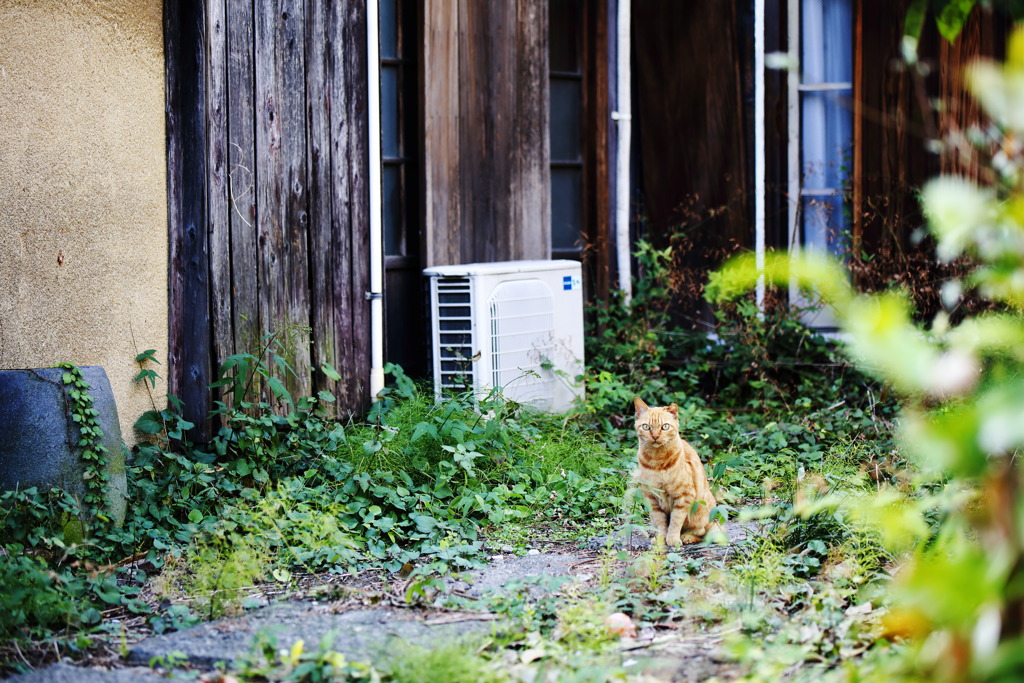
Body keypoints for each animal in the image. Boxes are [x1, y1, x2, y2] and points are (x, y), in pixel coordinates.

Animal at [630, 397, 720, 548]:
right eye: (646, 427)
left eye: (665, 427)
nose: (655, 436)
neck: (657, 461)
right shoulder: (651, 498)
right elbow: (661, 523)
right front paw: (661, 539)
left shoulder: (684, 496)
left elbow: (675, 521)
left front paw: (672, 539)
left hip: (700, 512)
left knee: (702, 533)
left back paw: (687, 537)